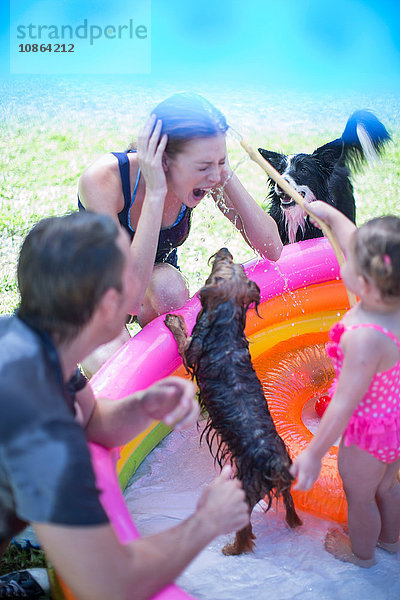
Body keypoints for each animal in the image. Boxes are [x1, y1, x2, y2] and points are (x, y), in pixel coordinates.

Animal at [165, 247, 300, 552]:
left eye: (222, 264)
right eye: (234, 263)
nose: (224, 249)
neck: (226, 325)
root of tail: (273, 462)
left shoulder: (192, 351)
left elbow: (182, 340)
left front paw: (174, 321)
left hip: (244, 491)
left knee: (245, 528)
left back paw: (232, 548)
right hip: (286, 483)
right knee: (288, 502)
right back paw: (294, 523)